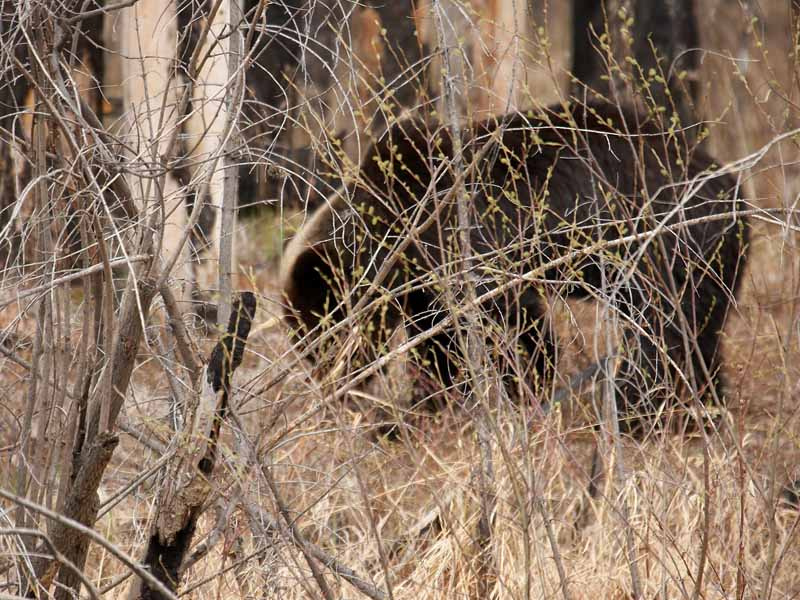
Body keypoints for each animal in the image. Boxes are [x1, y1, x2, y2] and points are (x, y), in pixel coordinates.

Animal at [280, 101, 749, 432]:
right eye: (304, 343)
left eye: (319, 336)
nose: (334, 393)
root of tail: (736, 191)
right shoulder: (425, 289)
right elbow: (440, 347)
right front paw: (425, 409)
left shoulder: (465, 245)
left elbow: (511, 323)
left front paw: (525, 389)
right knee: (699, 335)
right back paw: (702, 412)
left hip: (667, 247)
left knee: (664, 332)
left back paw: (641, 412)